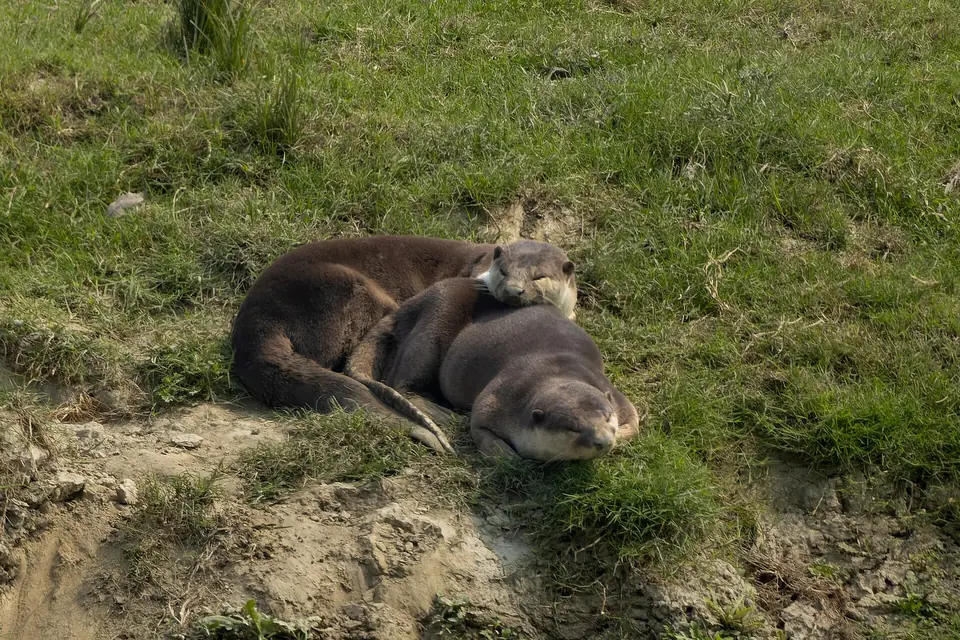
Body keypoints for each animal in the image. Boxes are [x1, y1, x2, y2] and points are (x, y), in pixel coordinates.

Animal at [230, 235, 577, 453]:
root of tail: (254, 323)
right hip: (348, 289)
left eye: (538, 276)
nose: (514, 290)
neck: (479, 267)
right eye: (504, 271)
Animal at [345, 277, 640, 461]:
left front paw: (622, 435)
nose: (603, 440)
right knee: (400, 381)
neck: (554, 370)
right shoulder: (501, 396)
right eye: (574, 429)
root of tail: (411, 303)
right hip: (436, 319)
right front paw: (508, 456)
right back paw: (440, 412)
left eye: (607, 417)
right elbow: (479, 426)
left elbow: (635, 420)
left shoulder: (609, 390)